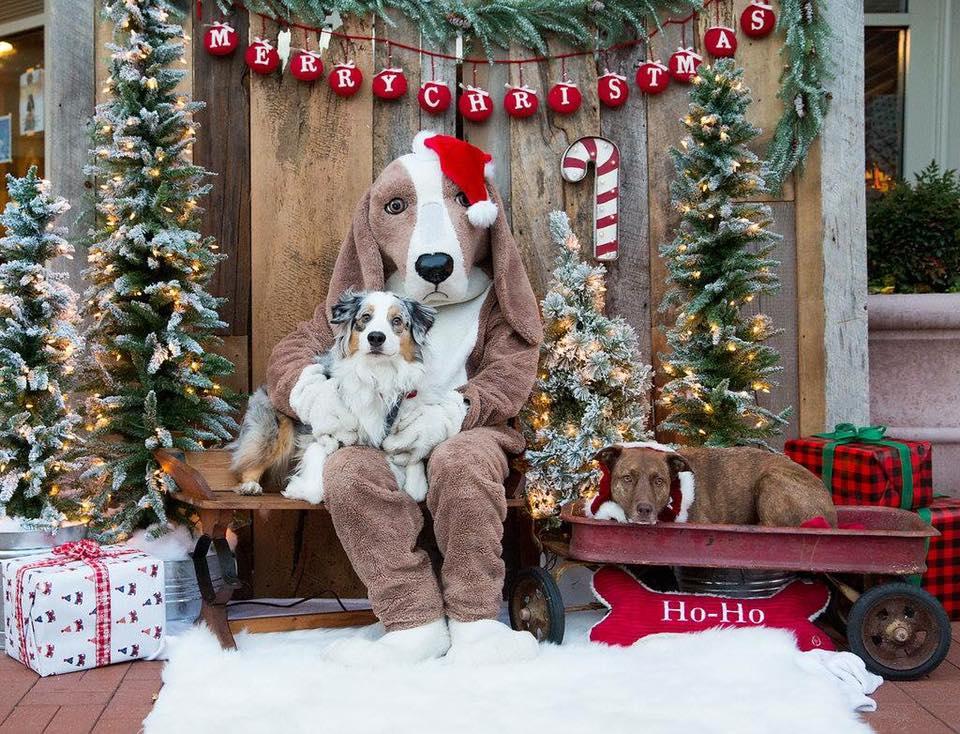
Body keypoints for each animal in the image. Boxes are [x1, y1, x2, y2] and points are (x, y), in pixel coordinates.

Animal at [229, 292, 436, 506]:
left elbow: (415, 470)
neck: (378, 372)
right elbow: (315, 475)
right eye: (366, 317)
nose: (376, 337)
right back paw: (250, 485)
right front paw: (299, 489)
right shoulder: (320, 432)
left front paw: (415, 481)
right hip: (275, 432)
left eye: (397, 320)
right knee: (250, 459)